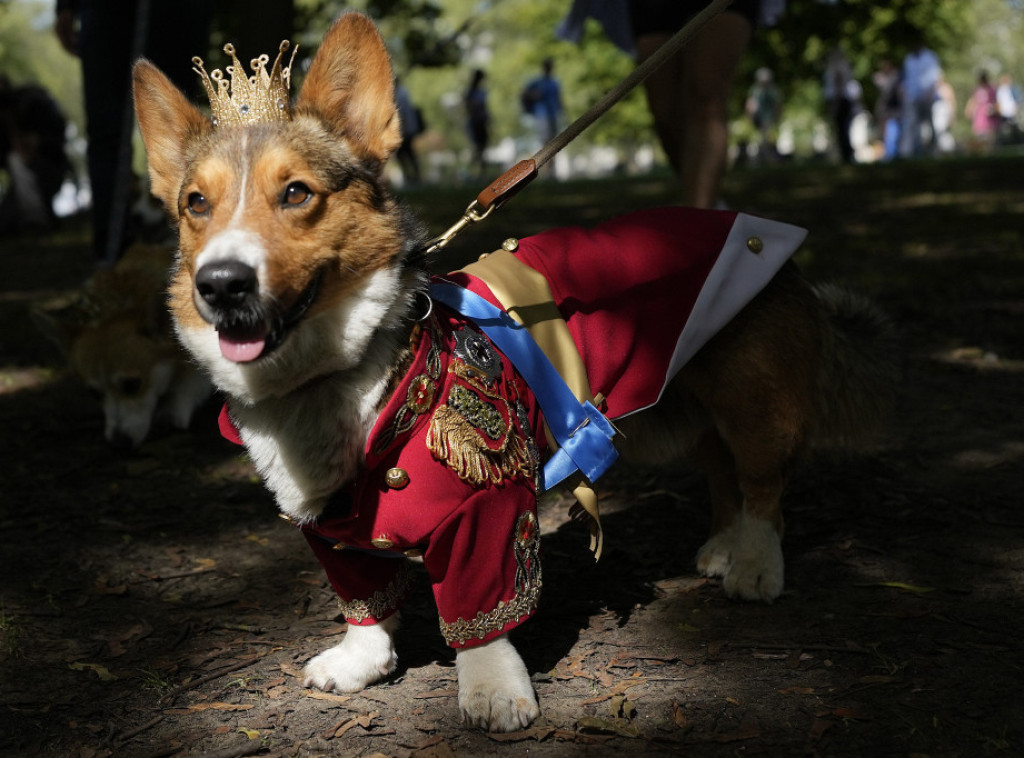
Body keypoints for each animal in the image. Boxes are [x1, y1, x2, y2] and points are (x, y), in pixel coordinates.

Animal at [132, 13, 892, 733]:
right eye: (195, 204)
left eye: (295, 193)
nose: (219, 285)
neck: (333, 378)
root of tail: (770, 241)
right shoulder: (331, 532)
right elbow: (364, 605)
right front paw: (358, 663)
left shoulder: (487, 511)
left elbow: (481, 615)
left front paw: (493, 693)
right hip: (686, 407)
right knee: (720, 472)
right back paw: (722, 549)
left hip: (751, 403)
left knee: (763, 484)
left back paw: (755, 566)